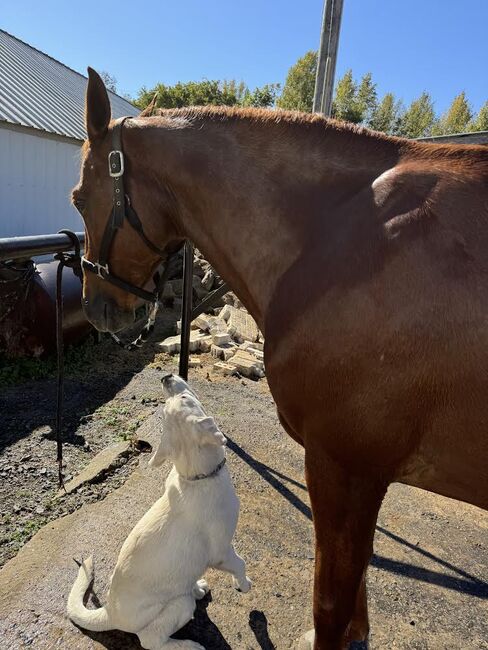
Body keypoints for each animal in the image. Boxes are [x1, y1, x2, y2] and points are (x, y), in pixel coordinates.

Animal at [67, 372, 252, 648]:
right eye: (186, 397)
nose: (166, 376)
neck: (196, 478)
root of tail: (109, 612)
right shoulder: (221, 552)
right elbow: (240, 563)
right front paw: (244, 584)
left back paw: (197, 587)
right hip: (179, 606)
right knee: (151, 640)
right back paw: (188, 645)